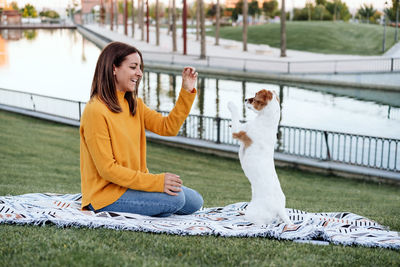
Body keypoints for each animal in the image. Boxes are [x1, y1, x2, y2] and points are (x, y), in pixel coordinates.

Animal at [228, 89, 290, 226]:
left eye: (255, 98)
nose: (245, 99)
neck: (267, 122)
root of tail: (279, 208)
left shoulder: (238, 131)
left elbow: (236, 117)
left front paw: (231, 105)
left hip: (253, 212)